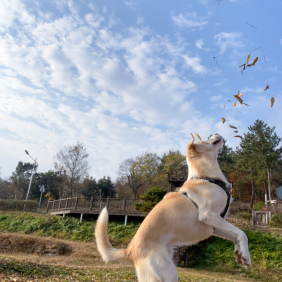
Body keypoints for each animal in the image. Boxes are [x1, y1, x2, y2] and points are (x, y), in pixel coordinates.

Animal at [95, 134, 251, 282]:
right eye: (205, 140)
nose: (216, 133)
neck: (206, 177)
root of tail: (130, 251)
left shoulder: (214, 225)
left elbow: (236, 235)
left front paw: (240, 254)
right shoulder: (208, 216)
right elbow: (242, 233)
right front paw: (246, 256)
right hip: (168, 273)